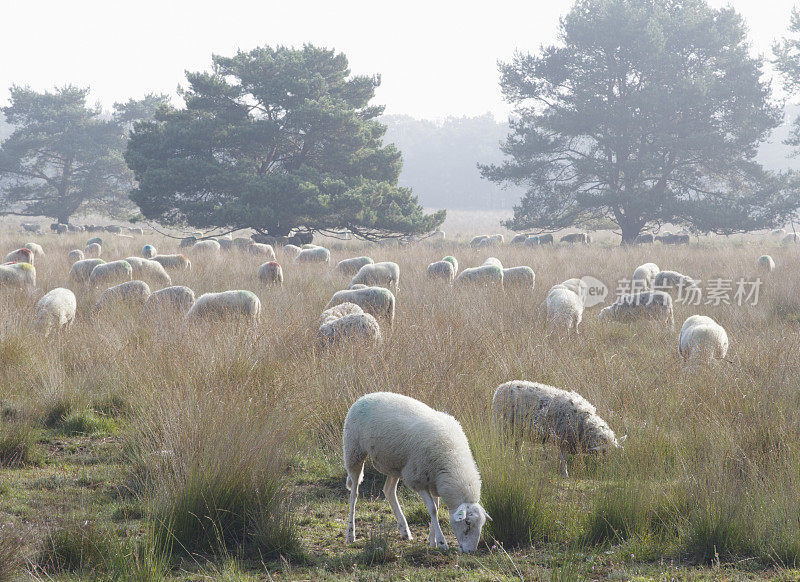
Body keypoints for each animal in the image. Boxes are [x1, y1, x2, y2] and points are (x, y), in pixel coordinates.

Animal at [342, 394, 490, 556]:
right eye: (467, 523)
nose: (470, 551)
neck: (453, 457)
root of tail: (365, 396)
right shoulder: (417, 479)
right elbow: (433, 510)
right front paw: (441, 543)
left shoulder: (434, 481)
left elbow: (436, 508)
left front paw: (432, 541)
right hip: (354, 451)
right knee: (354, 494)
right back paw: (350, 534)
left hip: (396, 464)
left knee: (389, 491)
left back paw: (404, 530)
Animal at [490, 384, 628, 480]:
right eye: (605, 454)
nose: (611, 470)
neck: (585, 424)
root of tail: (499, 388)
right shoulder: (562, 439)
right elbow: (563, 458)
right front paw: (565, 474)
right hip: (502, 427)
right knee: (501, 446)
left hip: (519, 431)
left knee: (517, 448)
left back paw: (521, 464)